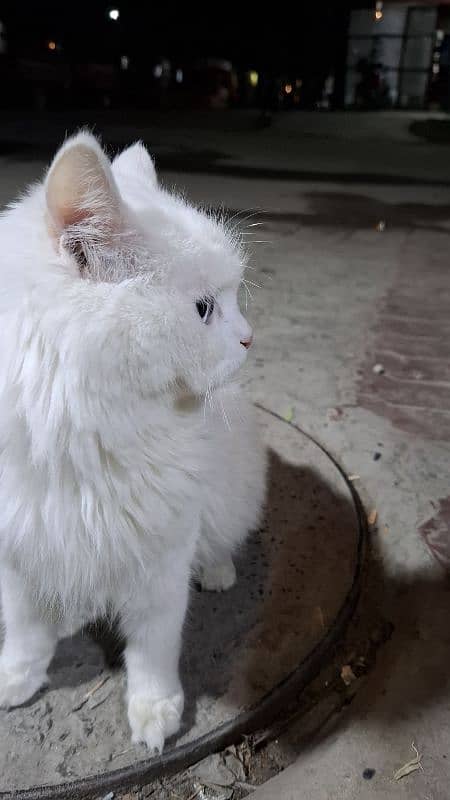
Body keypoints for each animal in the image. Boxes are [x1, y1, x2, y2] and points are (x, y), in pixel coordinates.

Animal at [0, 134, 268, 752]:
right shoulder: (19, 553)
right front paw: (16, 678)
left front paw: (155, 712)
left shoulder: (161, 562)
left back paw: (217, 571)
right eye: (203, 309)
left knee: (221, 542)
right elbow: (24, 631)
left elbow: (153, 650)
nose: (249, 338)